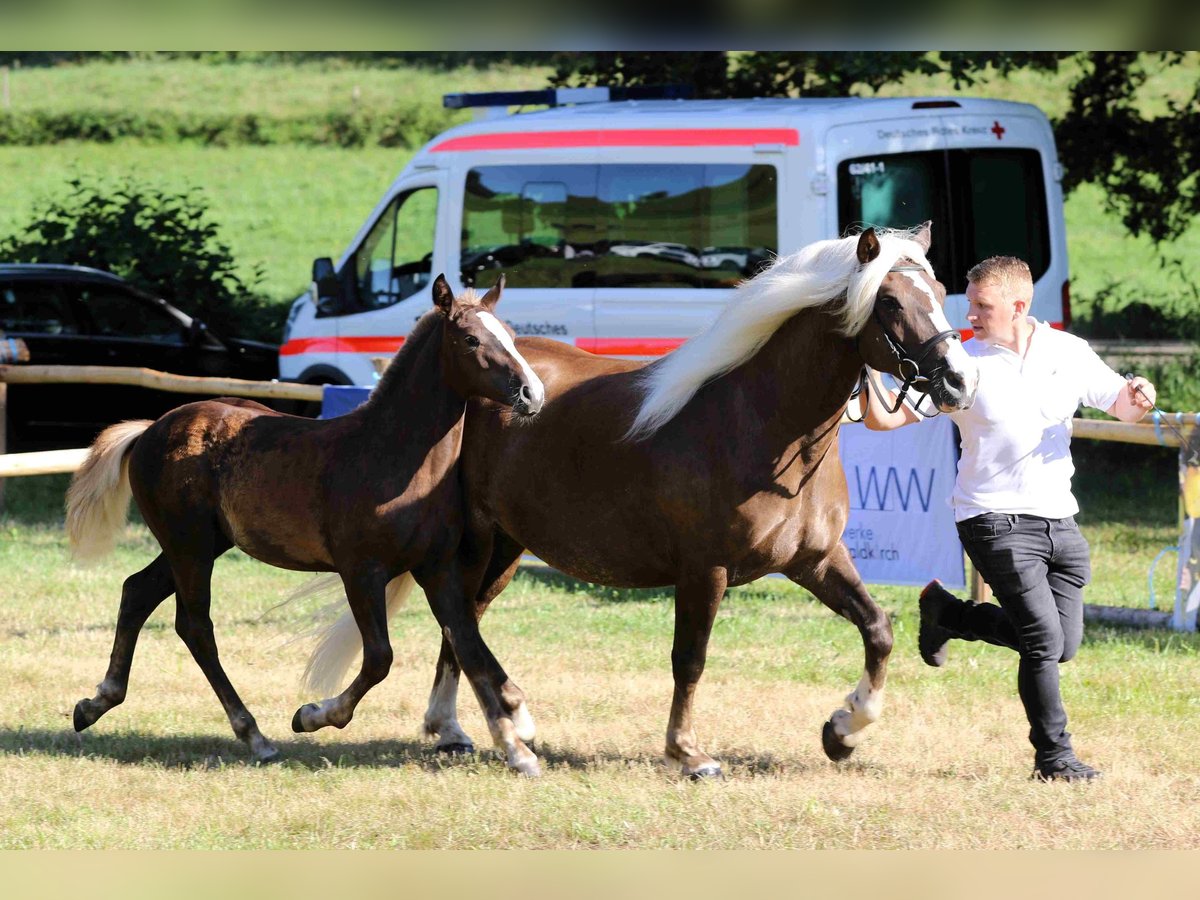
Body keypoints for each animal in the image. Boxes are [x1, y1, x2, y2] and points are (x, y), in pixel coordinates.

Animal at [65, 274, 544, 763]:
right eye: (471, 339)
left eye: (509, 334)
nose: (532, 394)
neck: (392, 456)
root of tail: (150, 429)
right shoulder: (361, 571)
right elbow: (380, 658)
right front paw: (312, 715)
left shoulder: (438, 569)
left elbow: (467, 643)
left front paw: (516, 747)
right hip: (189, 546)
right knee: (194, 625)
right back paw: (254, 736)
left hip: (200, 544)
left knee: (137, 591)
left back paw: (94, 704)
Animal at [307, 229, 974, 777]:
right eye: (890, 302)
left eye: (942, 290)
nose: (960, 381)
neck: (763, 424)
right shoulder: (705, 571)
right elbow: (690, 659)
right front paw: (688, 753)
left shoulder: (815, 560)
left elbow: (878, 629)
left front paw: (844, 731)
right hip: (475, 541)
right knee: (457, 617)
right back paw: (485, 722)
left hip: (504, 544)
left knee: (461, 617)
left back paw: (456, 728)